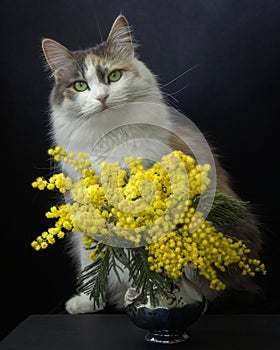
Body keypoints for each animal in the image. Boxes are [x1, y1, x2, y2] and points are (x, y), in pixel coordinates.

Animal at [41, 14, 262, 314]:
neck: (110, 138)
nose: (101, 98)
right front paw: (89, 301)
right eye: (80, 85)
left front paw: (150, 293)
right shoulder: (87, 207)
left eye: (114, 76)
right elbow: (92, 261)